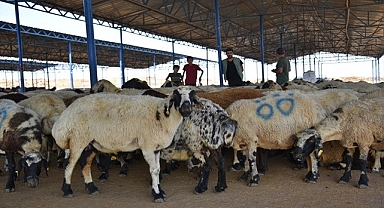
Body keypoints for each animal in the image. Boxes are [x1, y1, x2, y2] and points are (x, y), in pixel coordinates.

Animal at [51, 86, 195, 203]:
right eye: (177, 96)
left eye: (192, 97)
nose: (186, 109)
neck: (163, 116)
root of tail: (64, 118)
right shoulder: (148, 146)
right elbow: (154, 171)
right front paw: (157, 194)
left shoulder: (156, 148)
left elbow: (158, 169)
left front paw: (159, 190)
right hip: (77, 139)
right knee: (69, 164)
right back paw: (67, 190)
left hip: (91, 143)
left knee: (85, 163)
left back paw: (91, 187)